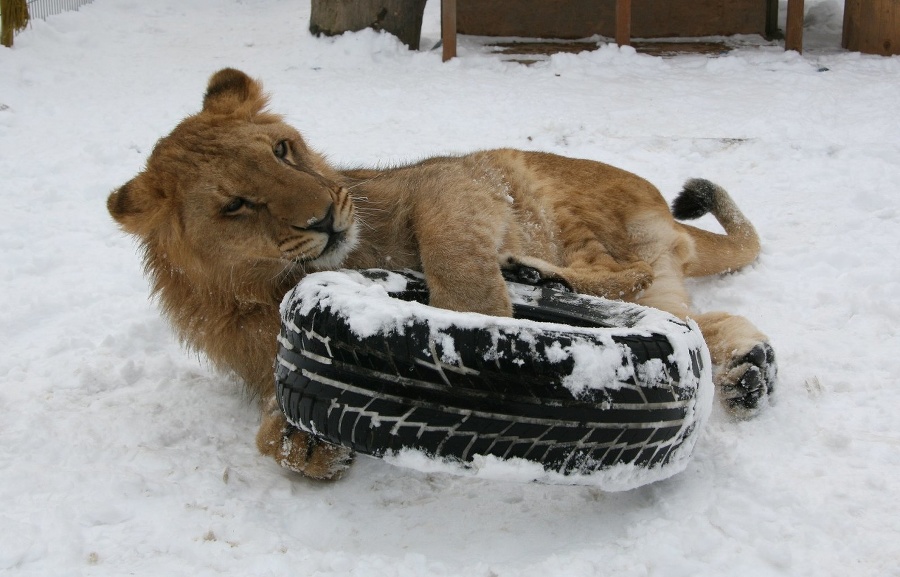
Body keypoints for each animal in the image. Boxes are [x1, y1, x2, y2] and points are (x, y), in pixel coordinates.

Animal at [109, 67, 776, 480]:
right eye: (235, 206)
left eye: (281, 150)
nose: (324, 216)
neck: (272, 283)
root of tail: (664, 208)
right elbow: (274, 435)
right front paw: (303, 441)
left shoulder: (451, 179)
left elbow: (452, 254)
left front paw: (480, 331)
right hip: (662, 291)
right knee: (699, 321)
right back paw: (748, 373)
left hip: (551, 195)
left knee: (624, 272)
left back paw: (542, 278)